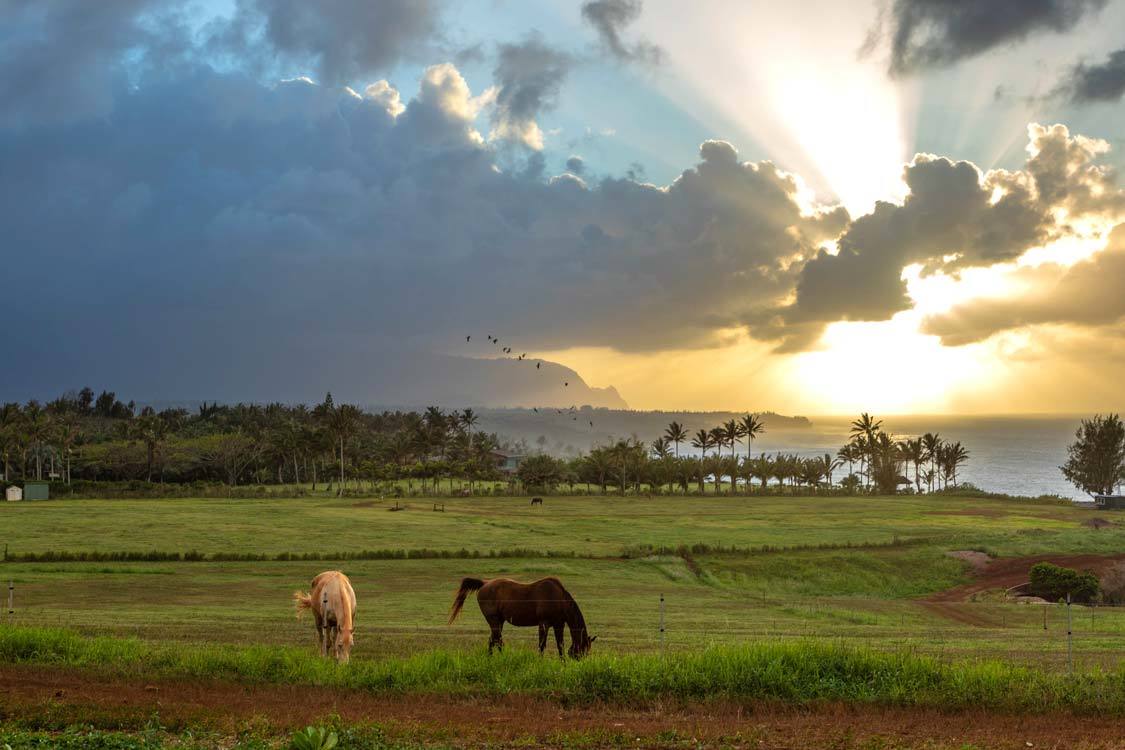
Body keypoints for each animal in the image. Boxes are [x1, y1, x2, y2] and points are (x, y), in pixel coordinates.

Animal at [445, 575, 598, 656]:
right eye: (584, 650)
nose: (579, 662)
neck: (558, 598)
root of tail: (484, 583)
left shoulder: (558, 624)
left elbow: (560, 645)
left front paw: (563, 663)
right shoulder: (544, 623)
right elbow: (542, 645)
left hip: (499, 621)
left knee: (493, 639)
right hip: (494, 620)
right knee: (497, 639)